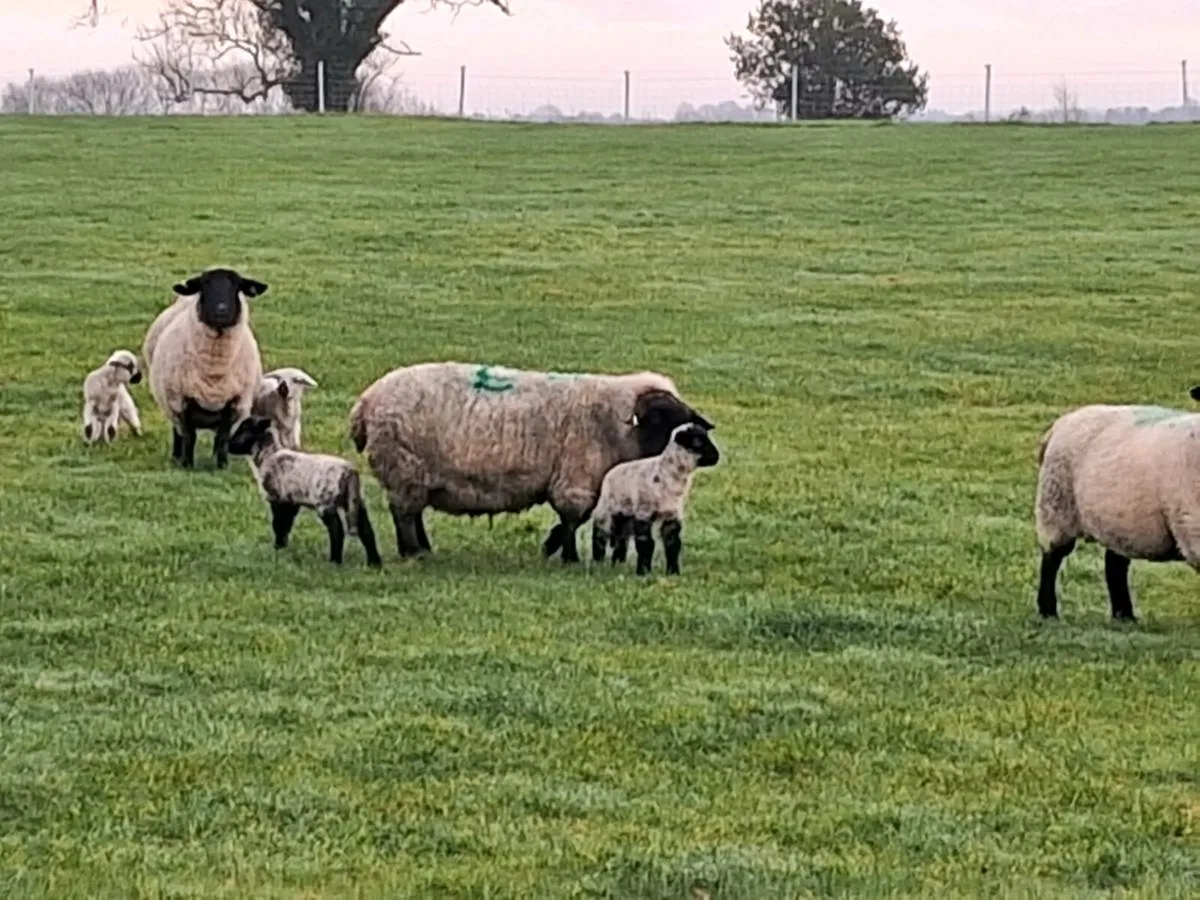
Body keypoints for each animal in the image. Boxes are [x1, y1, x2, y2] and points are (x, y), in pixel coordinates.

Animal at [145, 268, 267, 469]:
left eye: (237, 286)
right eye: (205, 285)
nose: (221, 310)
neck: (214, 369)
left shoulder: (235, 402)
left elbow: (222, 437)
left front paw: (222, 465)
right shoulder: (182, 400)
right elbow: (189, 436)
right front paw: (187, 464)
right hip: (170, 400)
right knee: (177, 431)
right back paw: (176, 457)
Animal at [227, 416, 382, 567]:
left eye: (244, 429)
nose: (229, 445)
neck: (268, 455)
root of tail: (350, 472)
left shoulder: (277, 497)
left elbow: (278, 524)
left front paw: (277, 547)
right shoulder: (291, 501)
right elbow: (286, 525)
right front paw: (282, 547)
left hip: (325, 501)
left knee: (337, 531)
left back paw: (335, 561)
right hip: (355, 500)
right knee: (366, 530)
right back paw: (374, 563)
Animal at [347, 362, 714, 562]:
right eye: (663, 417)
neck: (615, 422)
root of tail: (364, 405)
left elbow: (574, 521)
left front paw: (551, 546)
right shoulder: (575, 480)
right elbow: (572, 520)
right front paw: (566, 555)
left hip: (413, 474)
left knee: (413, 513)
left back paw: (422, 548)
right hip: (404, 468)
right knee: (404, 515)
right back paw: (413, 551)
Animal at [591, 422, 720, 575]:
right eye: (697, 441)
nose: (717, 456)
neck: (667, 474)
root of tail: (611, 471)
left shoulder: (672, 515)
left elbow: (673, 544)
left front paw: (673, 572)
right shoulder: (643, 513)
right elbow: (646, 543)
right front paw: (643, 572)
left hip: (625, 514)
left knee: (621, 538)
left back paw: (617, 563)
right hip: (605, 509)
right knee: (599, 534)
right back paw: (598, 562)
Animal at [1035, 402, 1200, 621]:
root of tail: (1061, 423)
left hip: (1119, 520)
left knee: (1114, 565)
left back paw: (1124, 615)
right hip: (1056, 505)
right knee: (1052, 559)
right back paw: (1048, 611)